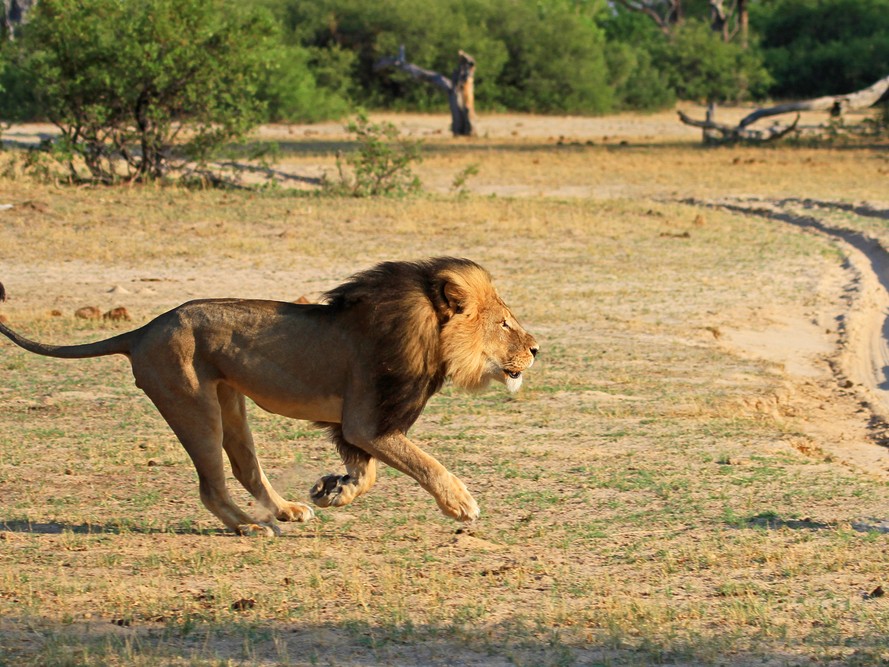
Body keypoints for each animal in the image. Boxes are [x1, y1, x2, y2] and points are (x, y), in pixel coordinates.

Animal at [0, 258, 539, 536]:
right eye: (504, 323)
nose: (536, 349)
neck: (427, 332)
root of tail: (143, 330)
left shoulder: (355, 426)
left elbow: (369, 474)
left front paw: (331, 490)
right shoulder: (366, 422)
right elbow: (424, 461)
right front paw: (461, 504)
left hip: (229, 403)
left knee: (246, 469)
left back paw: (287, 511)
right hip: (192, 404)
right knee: (212, 485)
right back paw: (251, 527)